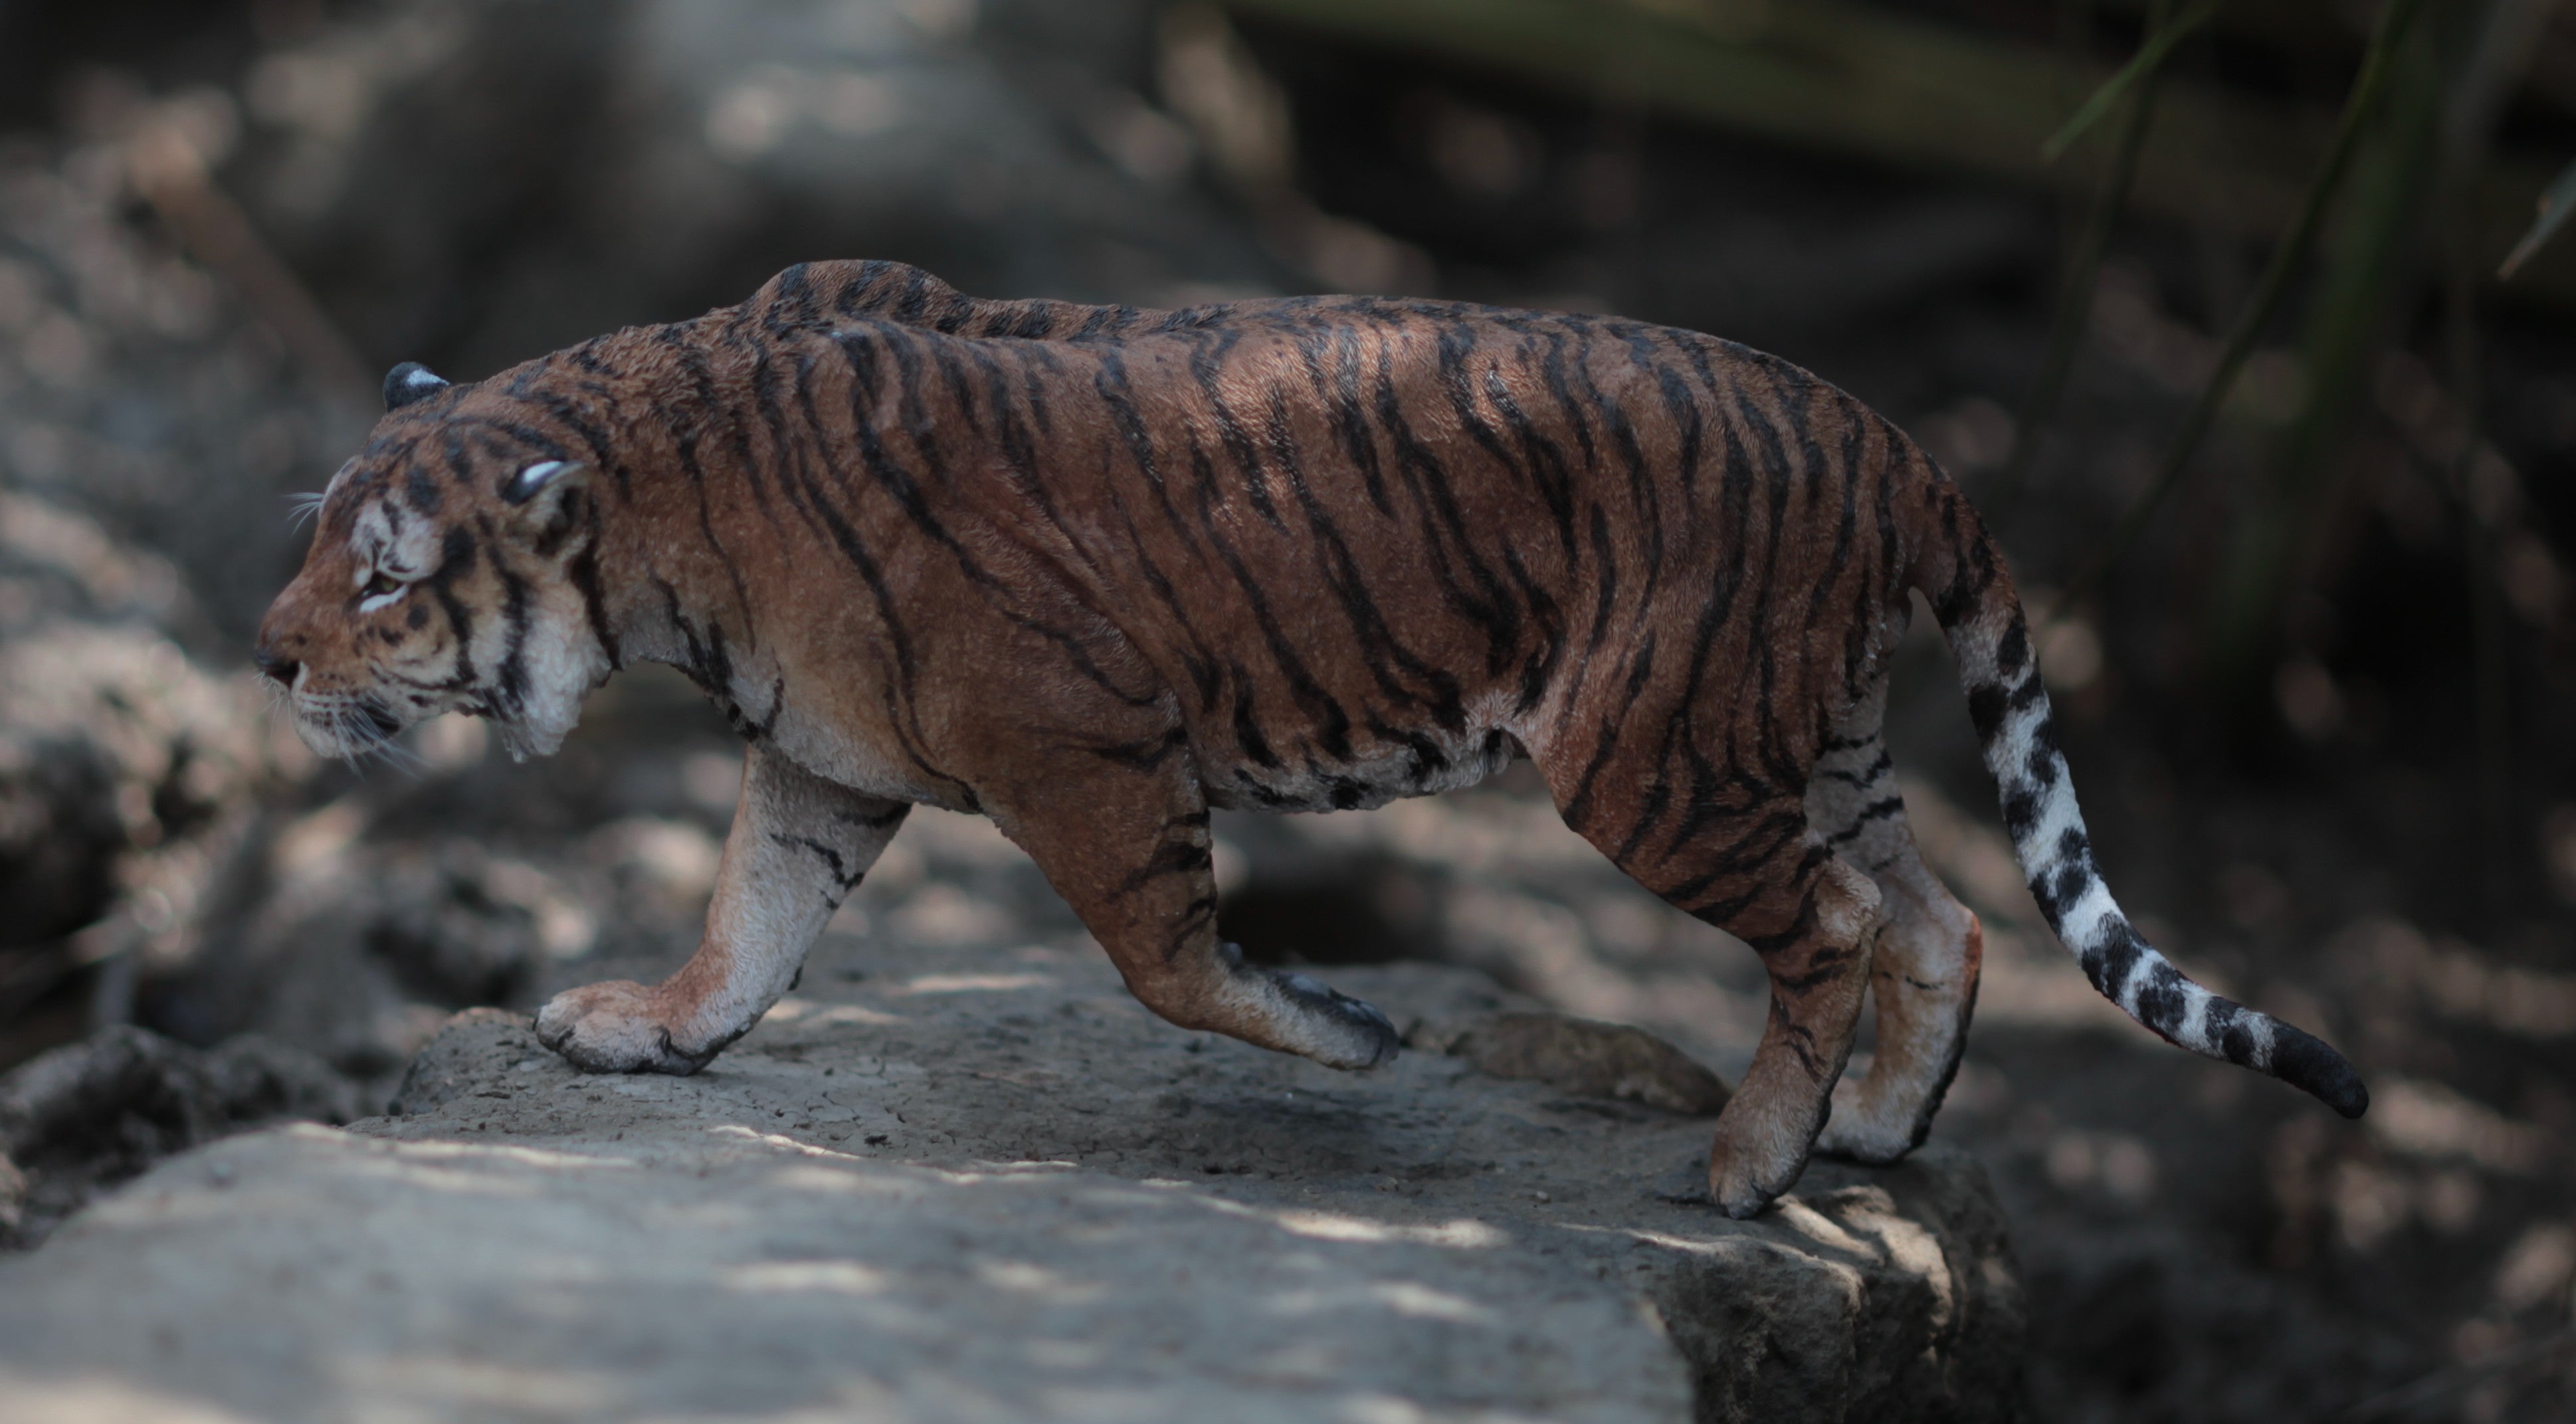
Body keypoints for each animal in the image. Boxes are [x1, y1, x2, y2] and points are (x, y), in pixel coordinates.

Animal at [253, 258, 2367, 1216]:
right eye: (309, 537)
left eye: (380, 577)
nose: (265, 660)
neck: (659, 509)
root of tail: (1885, 437)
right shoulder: (822, 756)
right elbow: (748, 917)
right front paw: (651, 1028)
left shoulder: (1086, 744)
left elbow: (1164, 957)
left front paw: (1349, 1032)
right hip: (1807, 738)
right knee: (1942, 916)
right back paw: (1863, 1135)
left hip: (1656, 759)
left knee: (1841, 927)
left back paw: (1745, 1167)